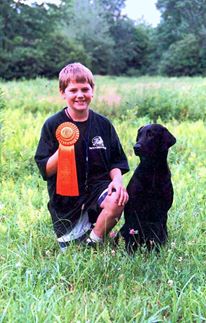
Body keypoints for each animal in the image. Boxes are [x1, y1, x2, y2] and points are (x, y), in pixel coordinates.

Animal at [120, 124, 176, 253]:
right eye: (139, 135)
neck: (152, 171)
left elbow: (156, 236)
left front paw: (155, 252)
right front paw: (130, 252)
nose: (136, 147)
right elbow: (132, 235)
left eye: (151, 135)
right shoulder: (133, 209)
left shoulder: (161, 212)